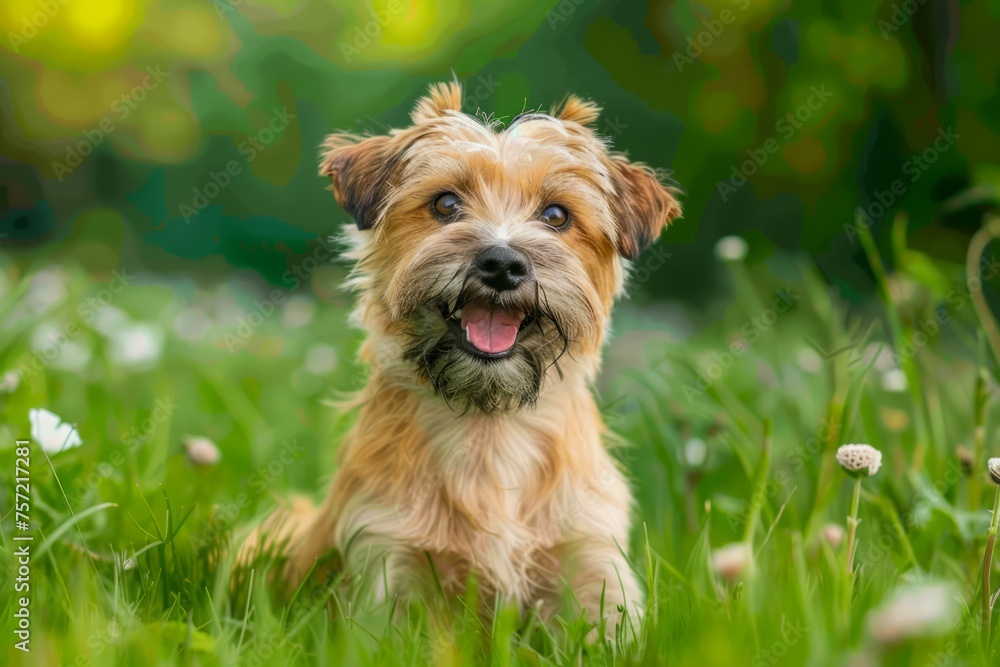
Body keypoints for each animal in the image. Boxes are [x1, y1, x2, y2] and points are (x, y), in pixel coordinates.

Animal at [241, 81, 680, 640]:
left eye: (556, 215)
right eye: (446, 203)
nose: (503, 264)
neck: (489, 427)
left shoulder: (591, 561)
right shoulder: (388, 563)